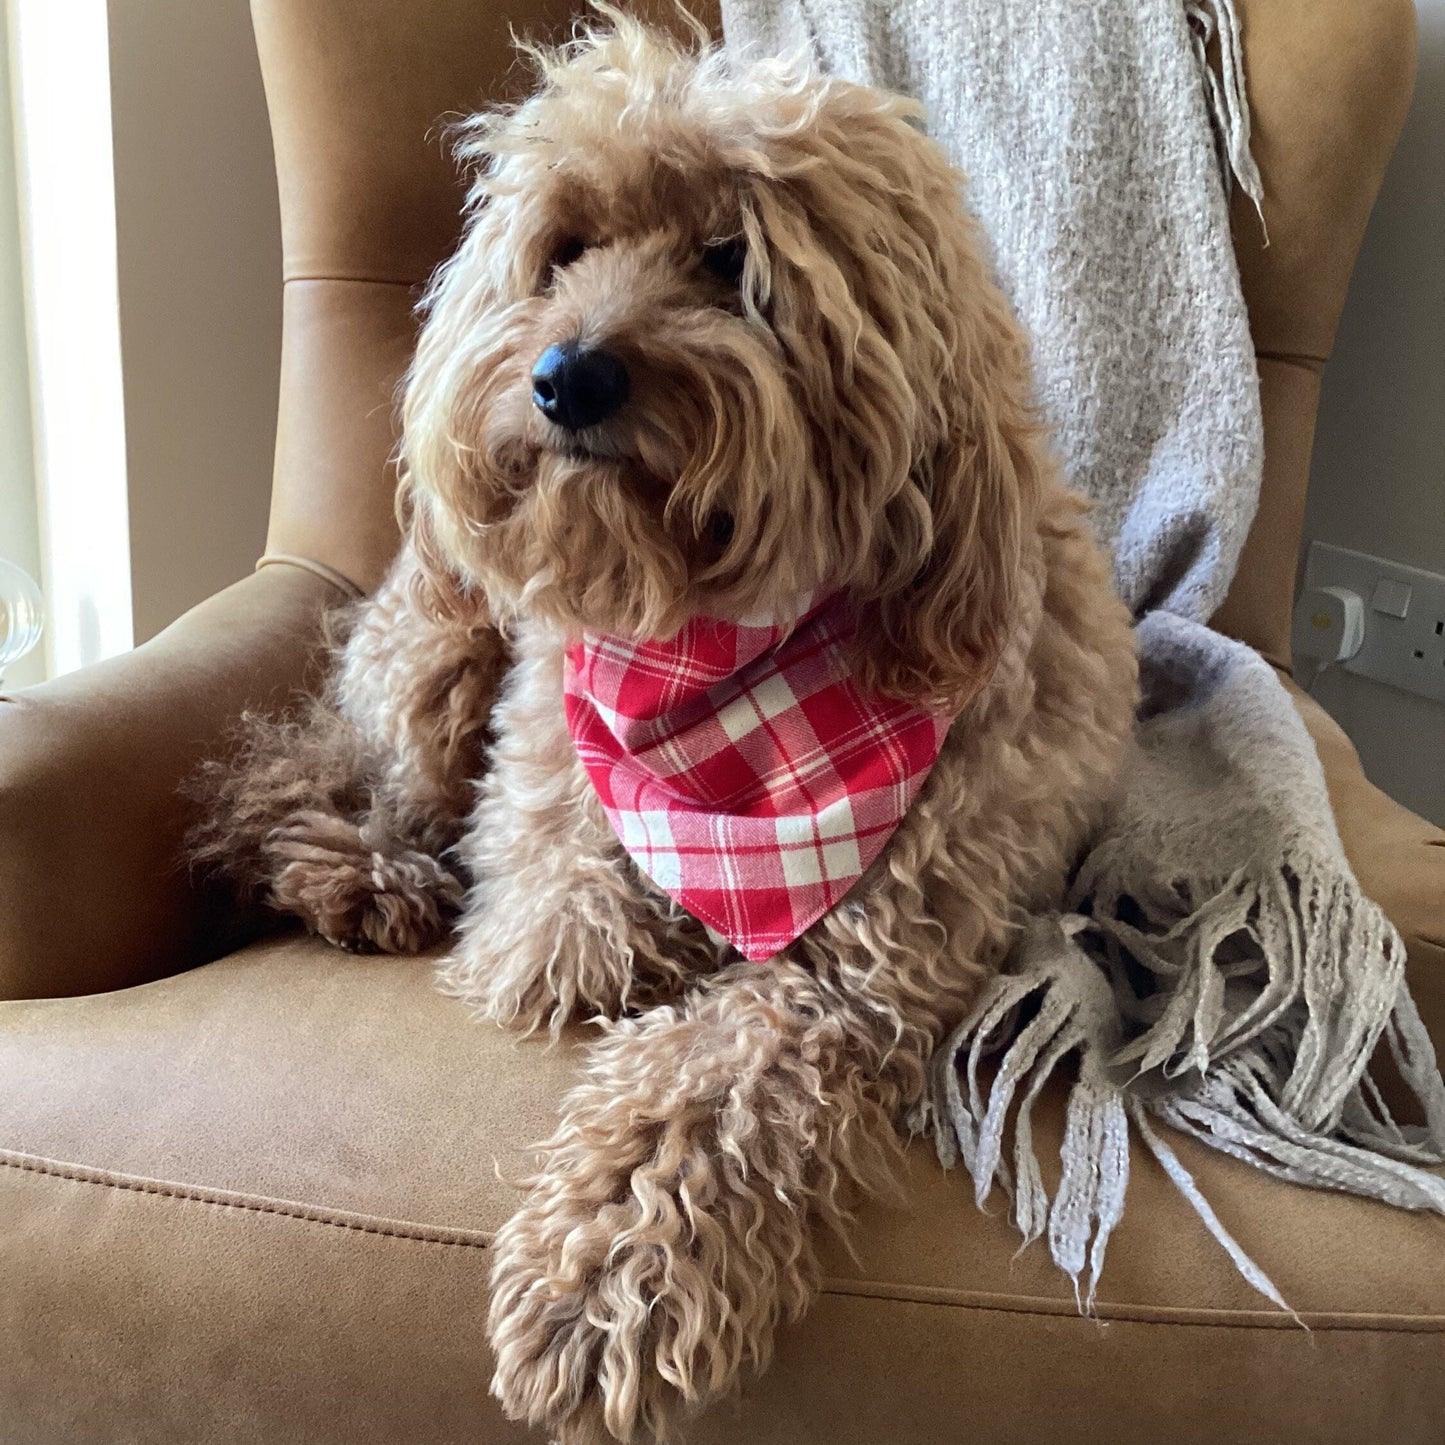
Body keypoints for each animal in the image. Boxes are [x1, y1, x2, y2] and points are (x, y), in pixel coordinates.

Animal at [195, 14, 1138, 1445]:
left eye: (731, 259)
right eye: (564, 249)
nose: (566, 374)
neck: (714, 667)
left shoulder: (853, 975)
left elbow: (710, 1070)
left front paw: (606, 1278)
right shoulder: (558, 846)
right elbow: (574, 941)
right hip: (439, 657)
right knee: (315, 771)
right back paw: (363, 873)